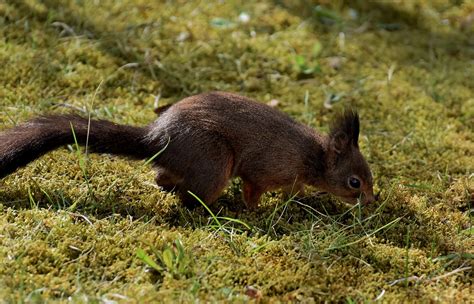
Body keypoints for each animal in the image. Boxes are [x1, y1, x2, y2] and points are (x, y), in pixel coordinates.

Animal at [0, 91, 378, 209]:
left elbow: (294, 192)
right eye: (354, 182)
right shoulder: (264, 169)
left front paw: (297, 201)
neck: (314, 156)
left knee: (162, 177)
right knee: (189, 196)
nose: (371, 202)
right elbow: (253, 190)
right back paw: (213, 209)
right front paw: (256, 212)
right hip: (214, 162)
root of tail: (156, 137)